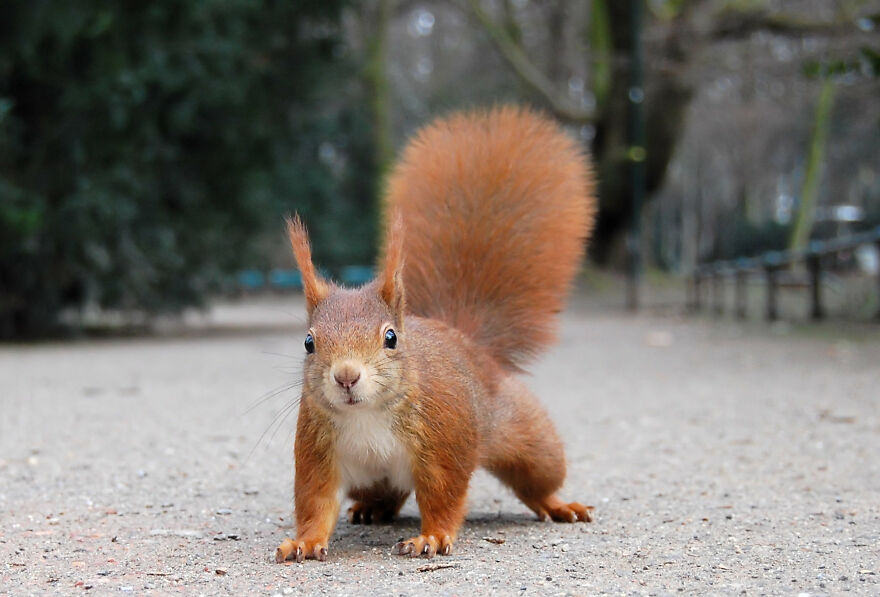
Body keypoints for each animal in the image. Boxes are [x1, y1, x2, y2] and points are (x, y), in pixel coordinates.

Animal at [275, 106, 596, 563]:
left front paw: (432, 536)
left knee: (537, 478)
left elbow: (443, 495)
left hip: (527, 438)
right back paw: (371, 509)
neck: (366, 415)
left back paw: (558, 504)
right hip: (371, 478)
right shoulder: (318, 452)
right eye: (308, 342)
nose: (346, 376)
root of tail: (467, 340)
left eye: (391, 338)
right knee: (386, 493)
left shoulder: (444, 443)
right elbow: (315, 502)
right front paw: (304, 541)